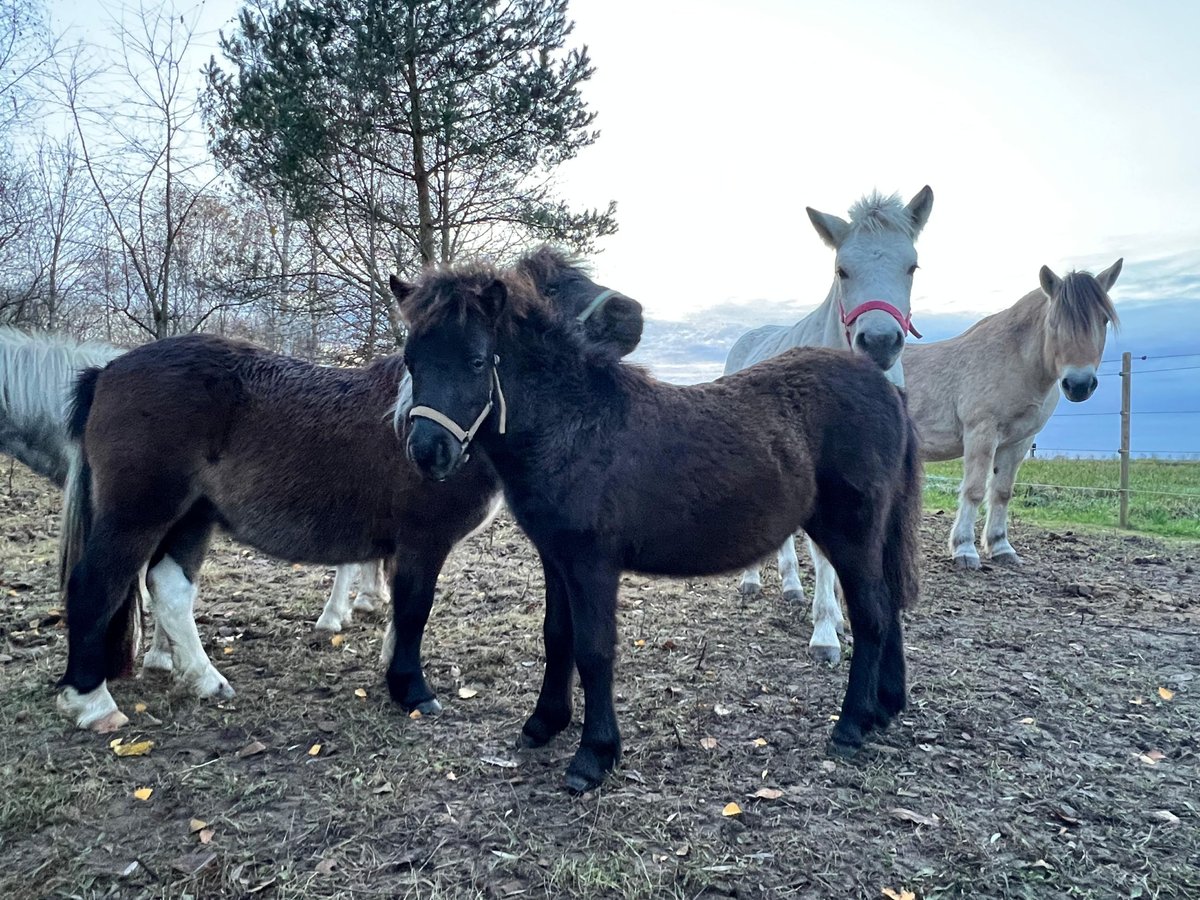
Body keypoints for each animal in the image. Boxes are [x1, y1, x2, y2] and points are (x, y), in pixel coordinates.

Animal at [55, 247, 644, 731]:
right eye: (552, 289)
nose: (633, 314)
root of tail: (107, 371)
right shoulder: (421, 540)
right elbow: (414, 608)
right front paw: (411, 690)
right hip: (137, 513)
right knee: (95, 585)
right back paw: (92, 702)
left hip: (192, 515)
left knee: (170, 588)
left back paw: (205, 680)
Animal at [396, 262, 923, 793]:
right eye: (411, 361)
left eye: (477, 361)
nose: (427, 452)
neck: (575, 424)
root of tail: (889, 391)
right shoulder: (556, 557)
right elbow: (557, 636)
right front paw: (544, 723)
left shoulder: (591, 563)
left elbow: (594, 649)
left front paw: (593, 755)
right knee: (889, 604)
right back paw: (883, 708)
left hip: (851, 532)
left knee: (872, 615)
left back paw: (851, 726)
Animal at [723, 187, 934, 664]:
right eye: (842, 269)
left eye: (912, 266)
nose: (879, 342)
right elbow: (823, 554)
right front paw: (825, 633)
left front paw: (841, 617)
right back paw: (753, 580)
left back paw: (791, 587)